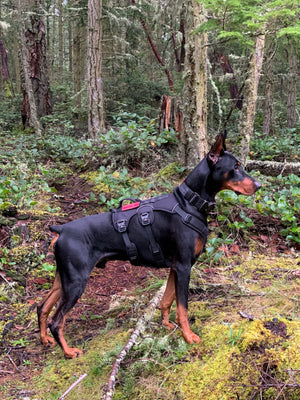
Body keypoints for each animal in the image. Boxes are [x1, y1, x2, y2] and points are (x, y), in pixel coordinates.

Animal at [37, 133, 260, 358]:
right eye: (236, 167)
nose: (259, 185)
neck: (189, 203)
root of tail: (61, 229)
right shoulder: (184, 266)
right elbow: (183, 307)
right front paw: (188, 337)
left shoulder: (175, 266)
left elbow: (167, 300)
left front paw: (166, 325)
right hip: (76, 281)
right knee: (56, 321)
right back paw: (68, 351)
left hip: (63, 278)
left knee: (42, 307)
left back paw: (45, 340)